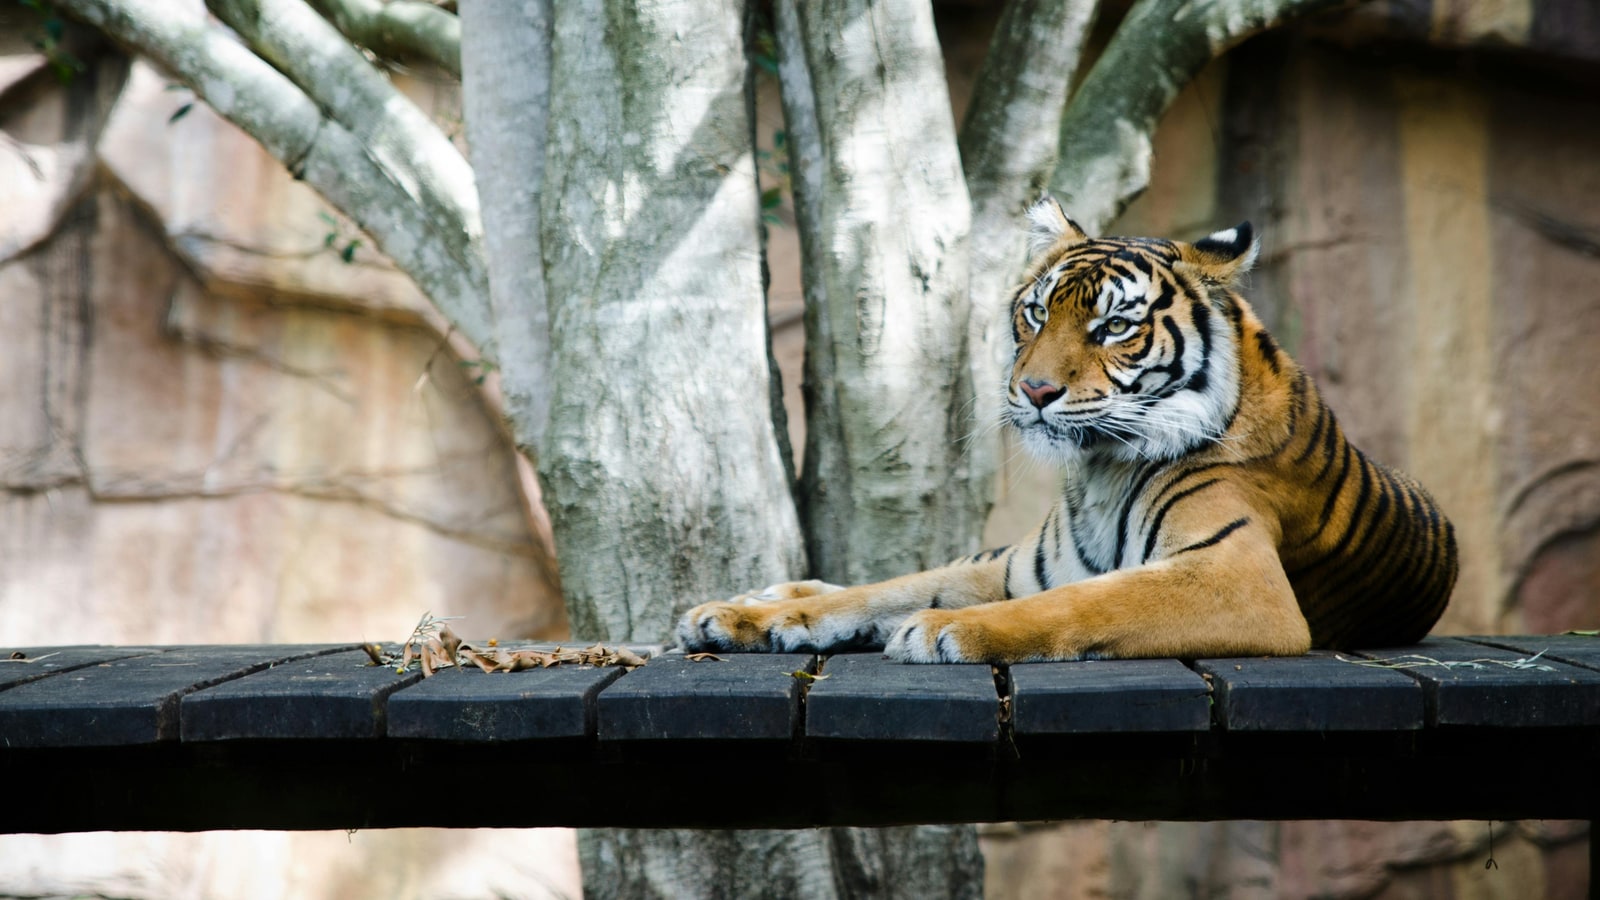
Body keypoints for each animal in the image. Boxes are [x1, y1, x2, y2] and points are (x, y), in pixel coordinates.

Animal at [677, 199, 1458, 663]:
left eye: (1113, 326)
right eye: (1035, 313)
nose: (1035, 390)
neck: (1102, 469)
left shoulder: (1238, 576)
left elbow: (1083, 599)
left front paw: (944, 630)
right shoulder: (1017, 566)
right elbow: (884, 589)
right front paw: (740, 618)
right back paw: (763, 599)